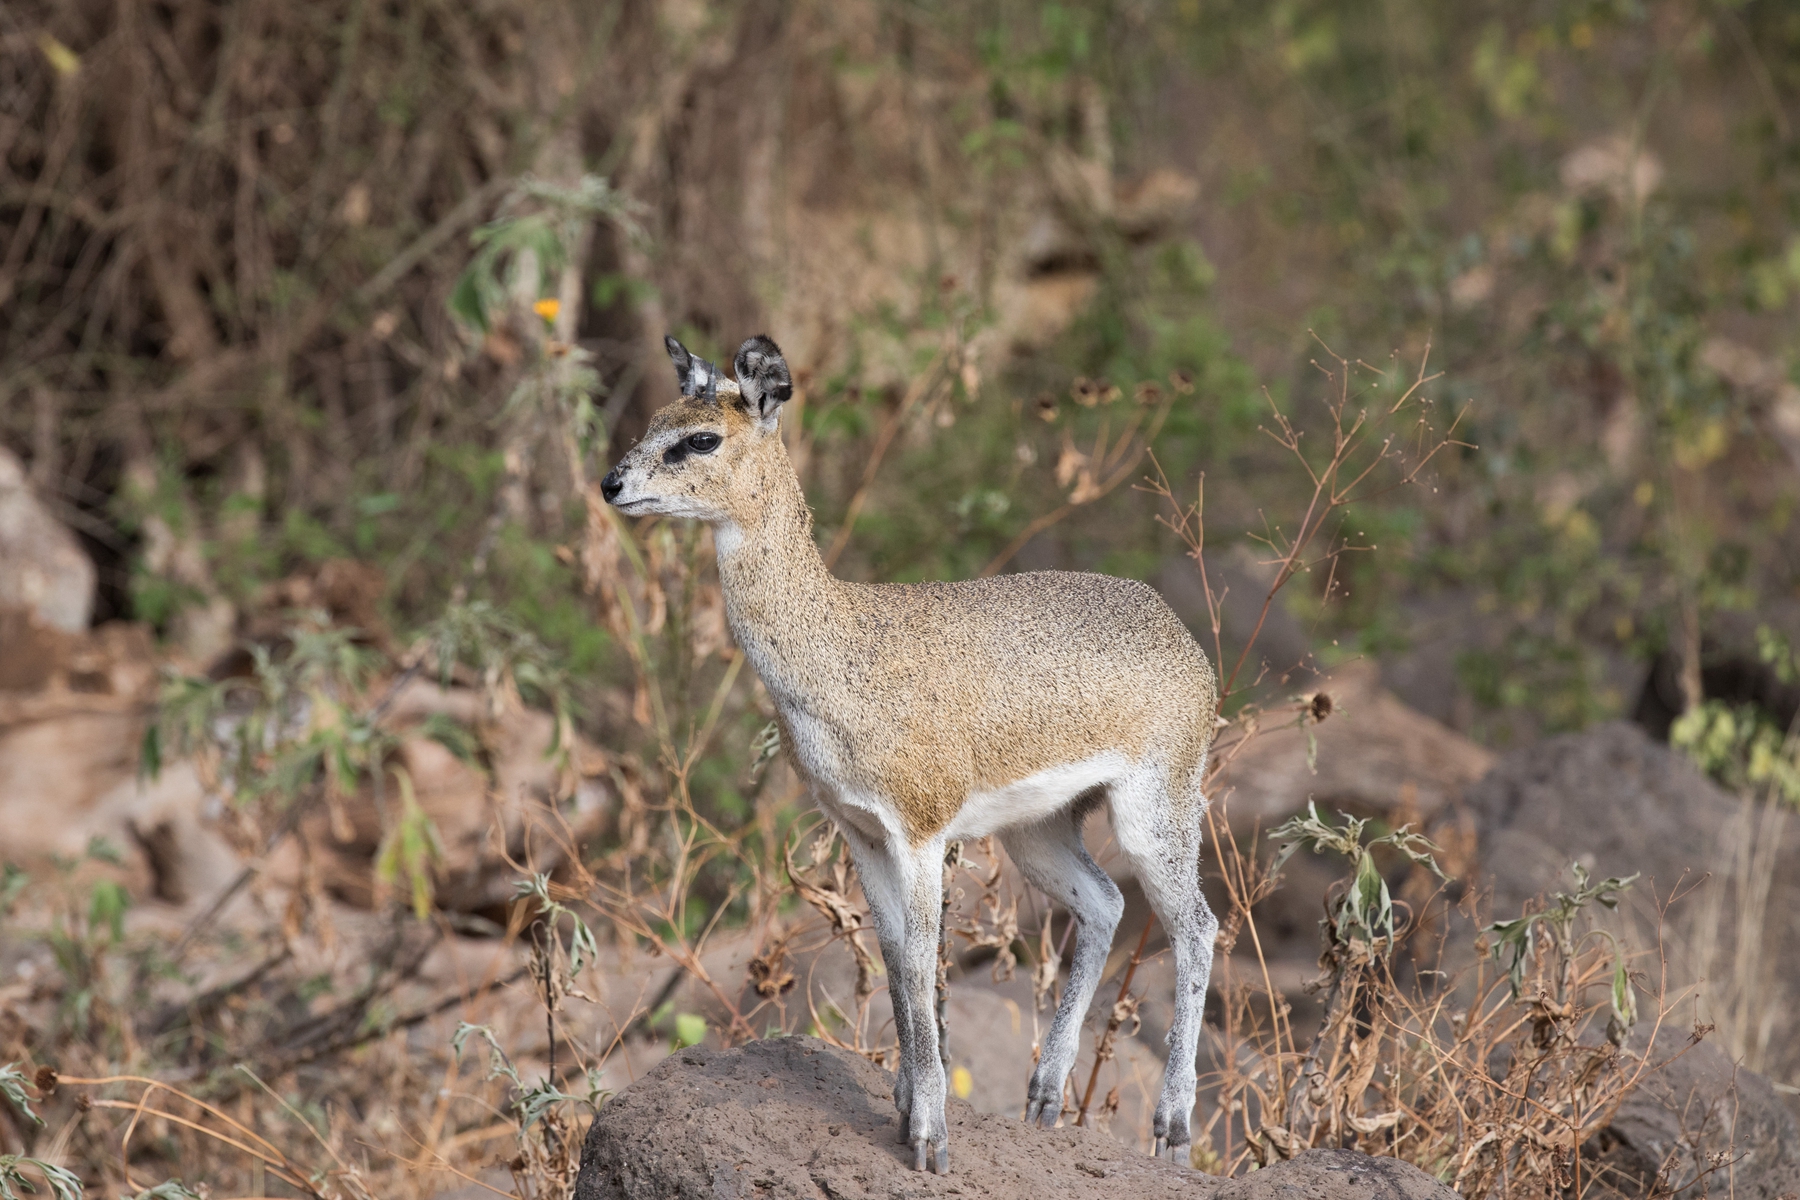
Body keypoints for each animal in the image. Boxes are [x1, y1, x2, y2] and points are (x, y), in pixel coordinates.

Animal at [604, 336, 1224, 1173]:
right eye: (652, 421)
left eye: (699, 438)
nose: (611, 483)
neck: (840, 650)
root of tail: (1178, 632)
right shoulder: (861, 832)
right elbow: (898, 958)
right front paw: (903, 1108)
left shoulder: (922, 832)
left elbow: (926, 959)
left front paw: (930, 1135)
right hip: (1038, 828)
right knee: (1105, 904)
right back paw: (1043, 1098)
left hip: (1156, 807)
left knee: (1196, 926)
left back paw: (1173, 1128)